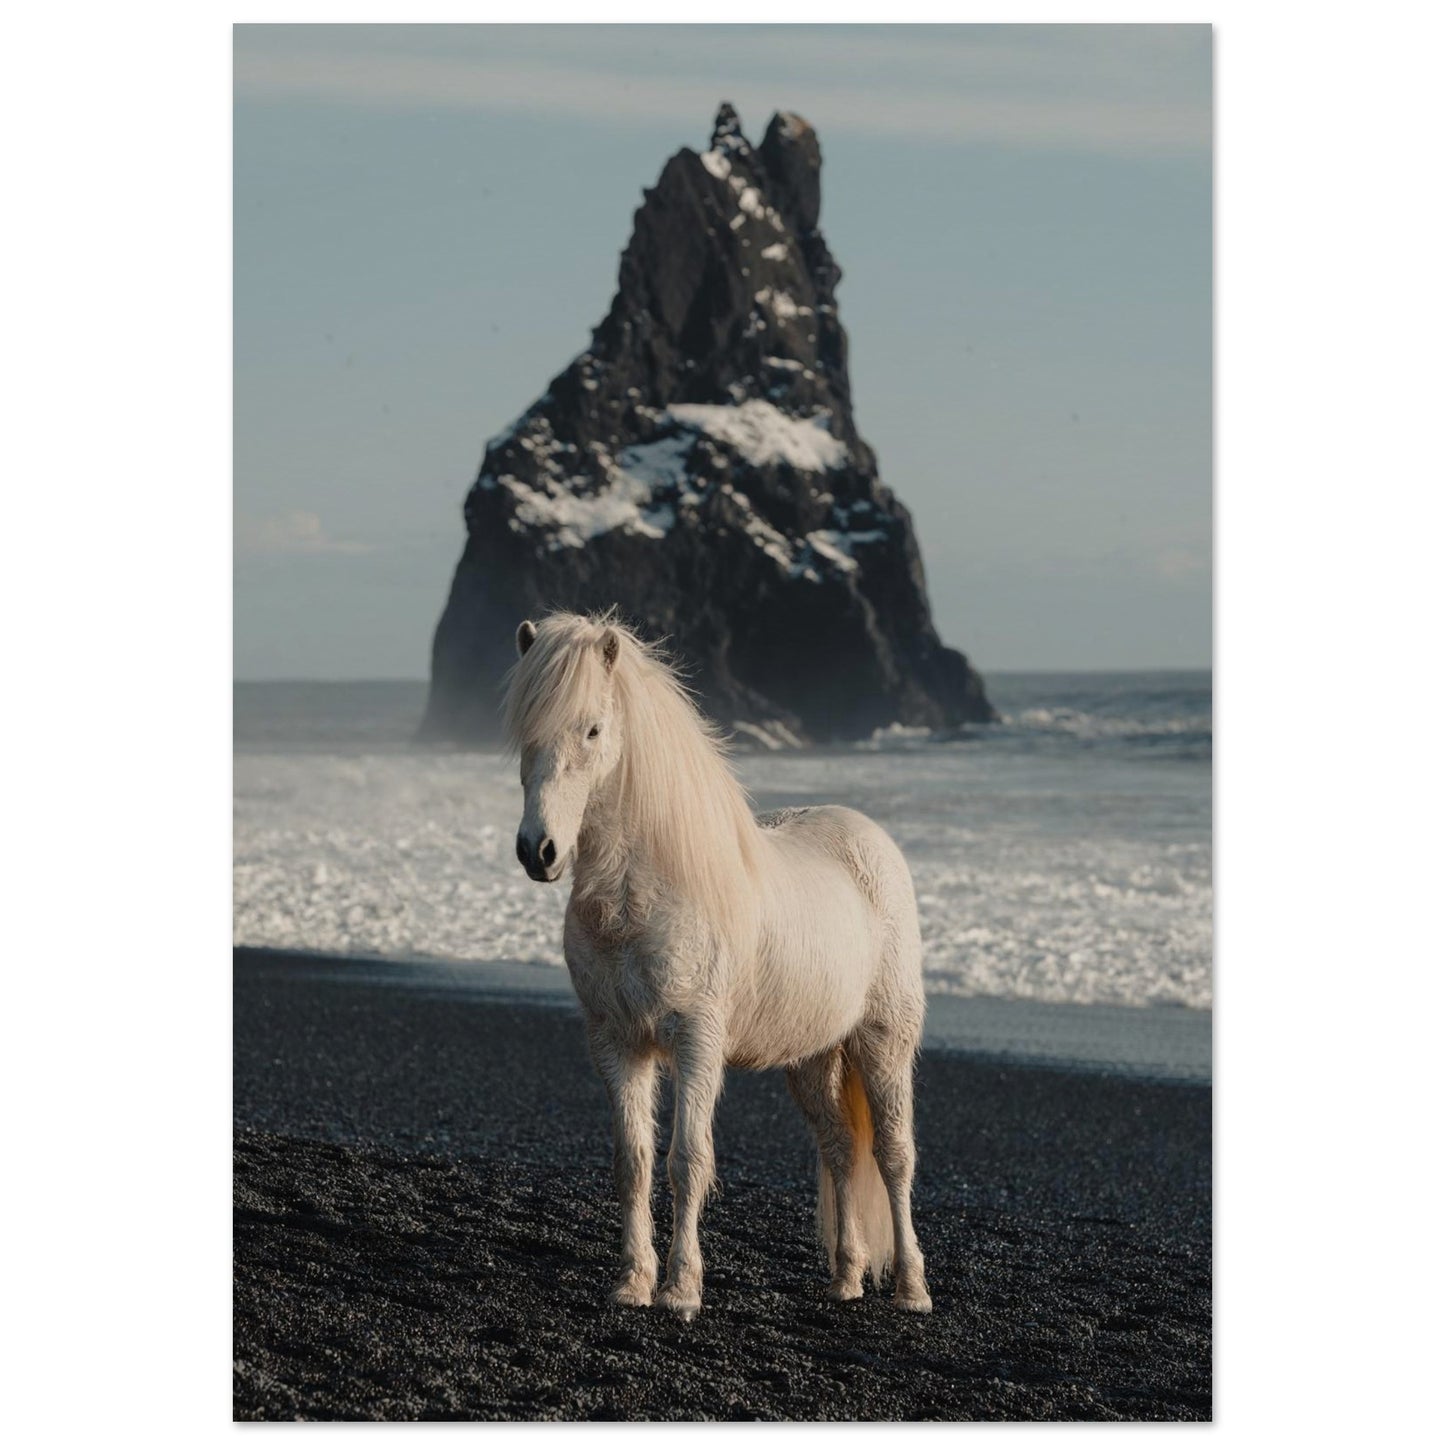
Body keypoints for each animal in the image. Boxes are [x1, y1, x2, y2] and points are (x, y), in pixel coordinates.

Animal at [504, 611, 932, 1320]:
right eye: (522, 732)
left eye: (591, 729)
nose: (539, 851)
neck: (646, 894)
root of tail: (869, 839)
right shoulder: (617, 1043)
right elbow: (634, 1161)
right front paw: (633, 1283)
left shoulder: (697, 1040)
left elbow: (687, 1160)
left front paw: (681, 1290)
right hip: (812, 1058)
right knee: (841, 1149)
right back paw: (844, 1279)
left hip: (882, 1041)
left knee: (894, 1156)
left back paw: (911, 1289)